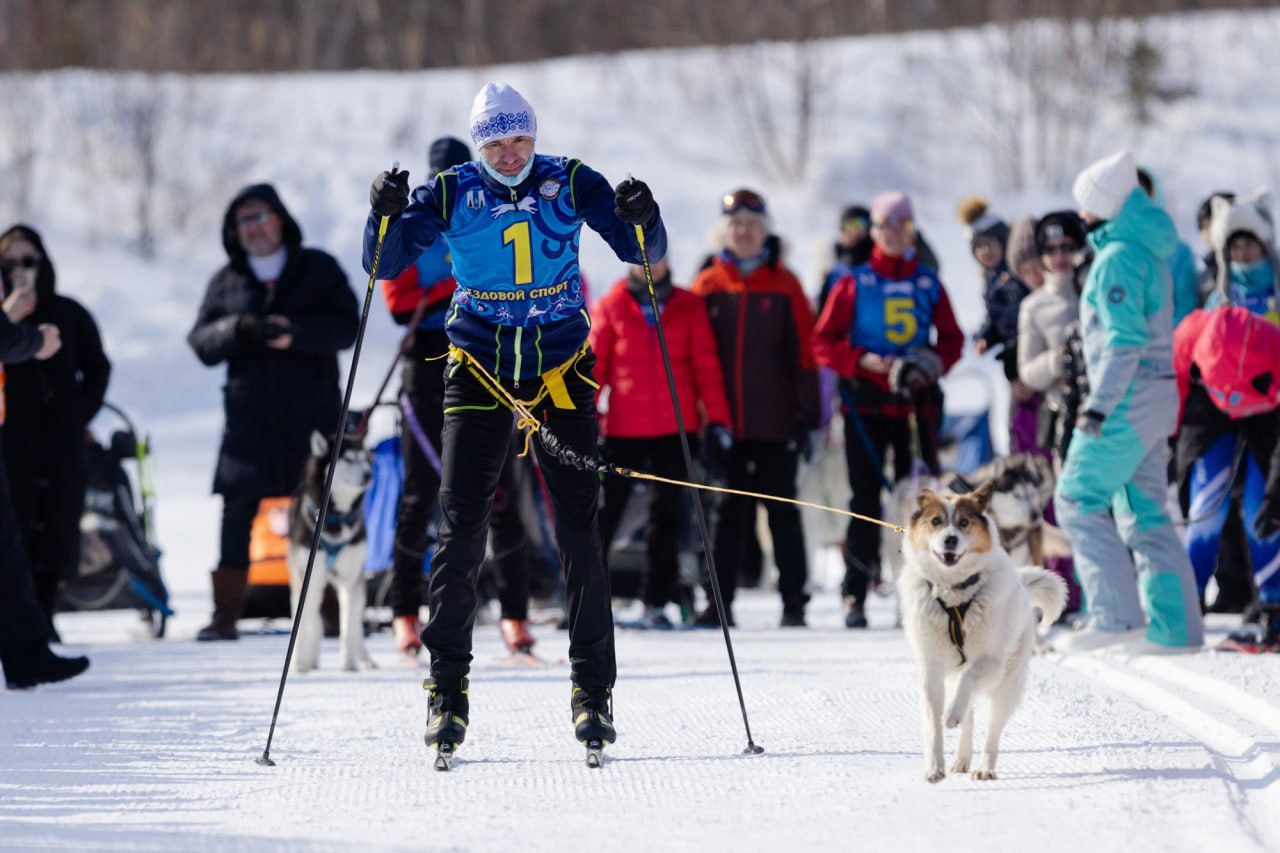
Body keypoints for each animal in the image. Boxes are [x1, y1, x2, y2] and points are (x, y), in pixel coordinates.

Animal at [288, 432, 373, 671]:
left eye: (365, 458)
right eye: (349, 459)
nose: (368, 474)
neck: (335, 517)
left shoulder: (349, 580)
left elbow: (348, 626)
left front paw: (348, 663)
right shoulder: (308, 578)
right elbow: (305, 624)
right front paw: (301, 663)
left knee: (355, 624)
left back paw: (364, 658)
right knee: (312, 621)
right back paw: (308, 659)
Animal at [901, 481, 1070, 778]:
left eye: (963, 522)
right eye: (936, 521)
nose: (950, 539)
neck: (953, 593)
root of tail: (1022, 585)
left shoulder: (992, 664)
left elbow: (968, 679)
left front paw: (951, 714)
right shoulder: (931, 669)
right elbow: (934, 724)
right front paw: (935, 767)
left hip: (1006, 684)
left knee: (992, 727)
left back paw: (985, 768)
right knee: (967, 715)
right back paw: (961, 757)